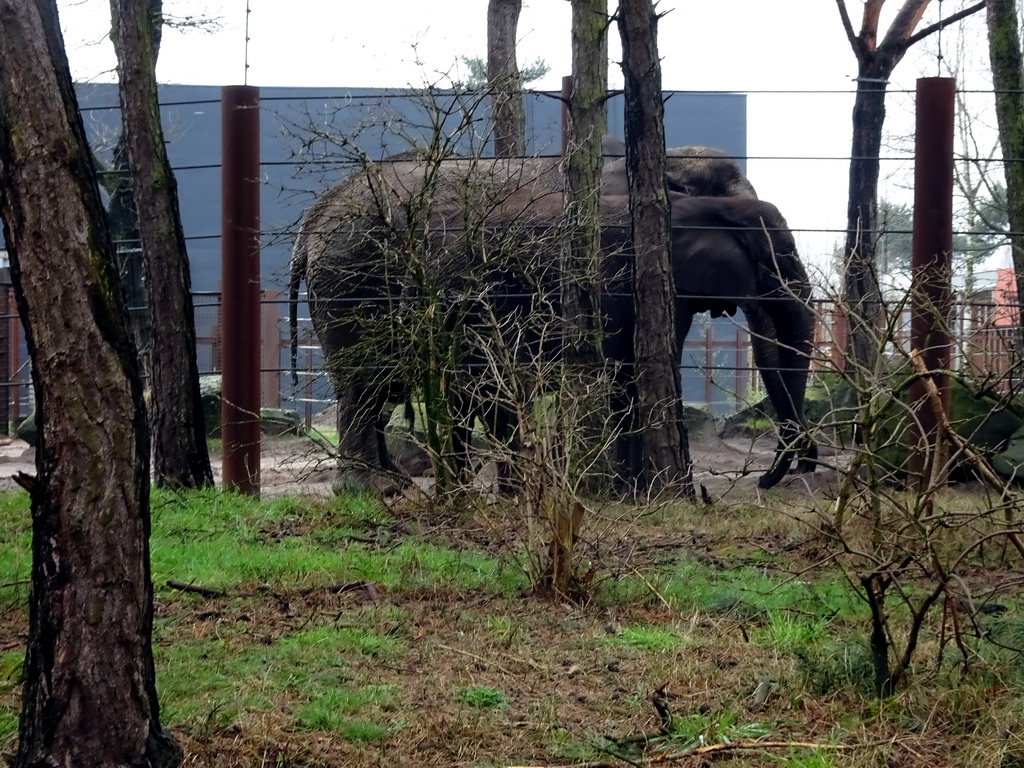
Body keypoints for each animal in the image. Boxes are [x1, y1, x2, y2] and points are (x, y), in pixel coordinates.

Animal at [290, 148, 815, 495]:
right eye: (775, 258)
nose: (771, 479)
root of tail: (312, 220)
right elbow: (627, 370)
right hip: (353, 279)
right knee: (364, 383)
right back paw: (369, 490)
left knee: (380, 388)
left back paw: (395, 483)